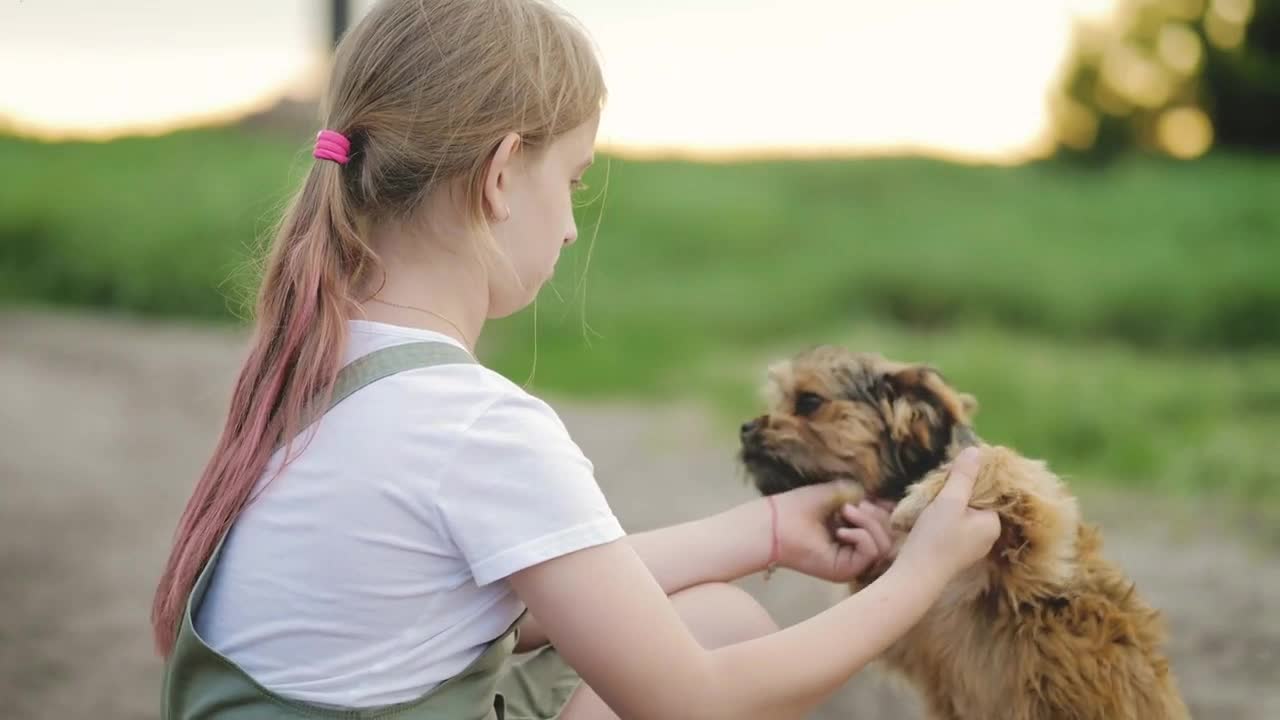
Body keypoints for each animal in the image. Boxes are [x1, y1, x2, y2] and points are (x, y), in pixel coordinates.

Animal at [742, 345, 1187, 712]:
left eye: (809, 402)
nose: (745, 429)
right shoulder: (909, 631)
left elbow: (997, 459)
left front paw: (928, 493)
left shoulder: (1036, 556)